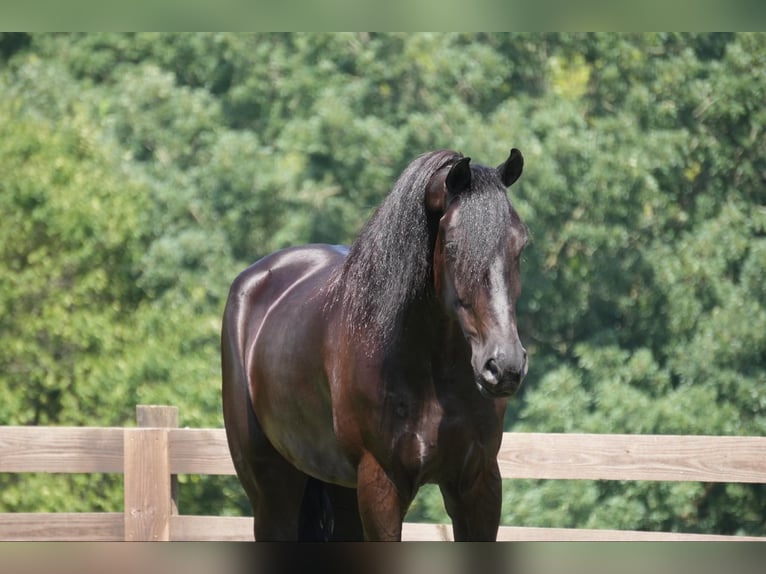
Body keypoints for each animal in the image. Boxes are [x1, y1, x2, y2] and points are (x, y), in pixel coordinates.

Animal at [224, 150, 528, 544]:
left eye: (521, 245)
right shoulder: (381, 485)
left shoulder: (478, 485)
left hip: (341, 489)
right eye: (452, 246)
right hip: (273, 491)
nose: (503, 366)